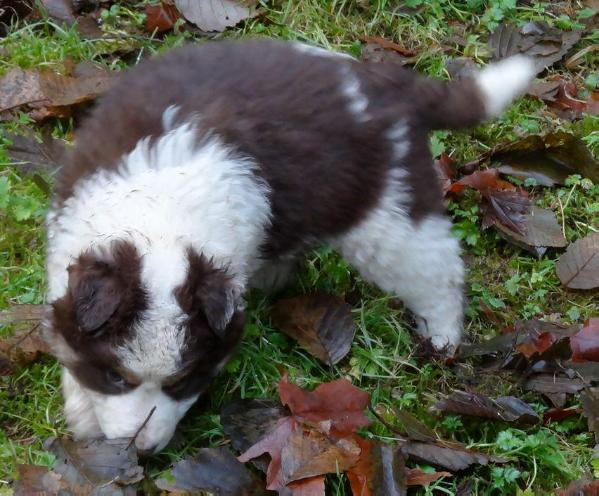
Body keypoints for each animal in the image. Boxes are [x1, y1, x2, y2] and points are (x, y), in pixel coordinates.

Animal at [44, 40, 536, 456]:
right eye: (114, 375)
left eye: (182, 383)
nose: (141, 451)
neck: (160, 218)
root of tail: (390, 83)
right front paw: (83, 409)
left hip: (387, 211)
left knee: (434, 271)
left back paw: (442, 338)